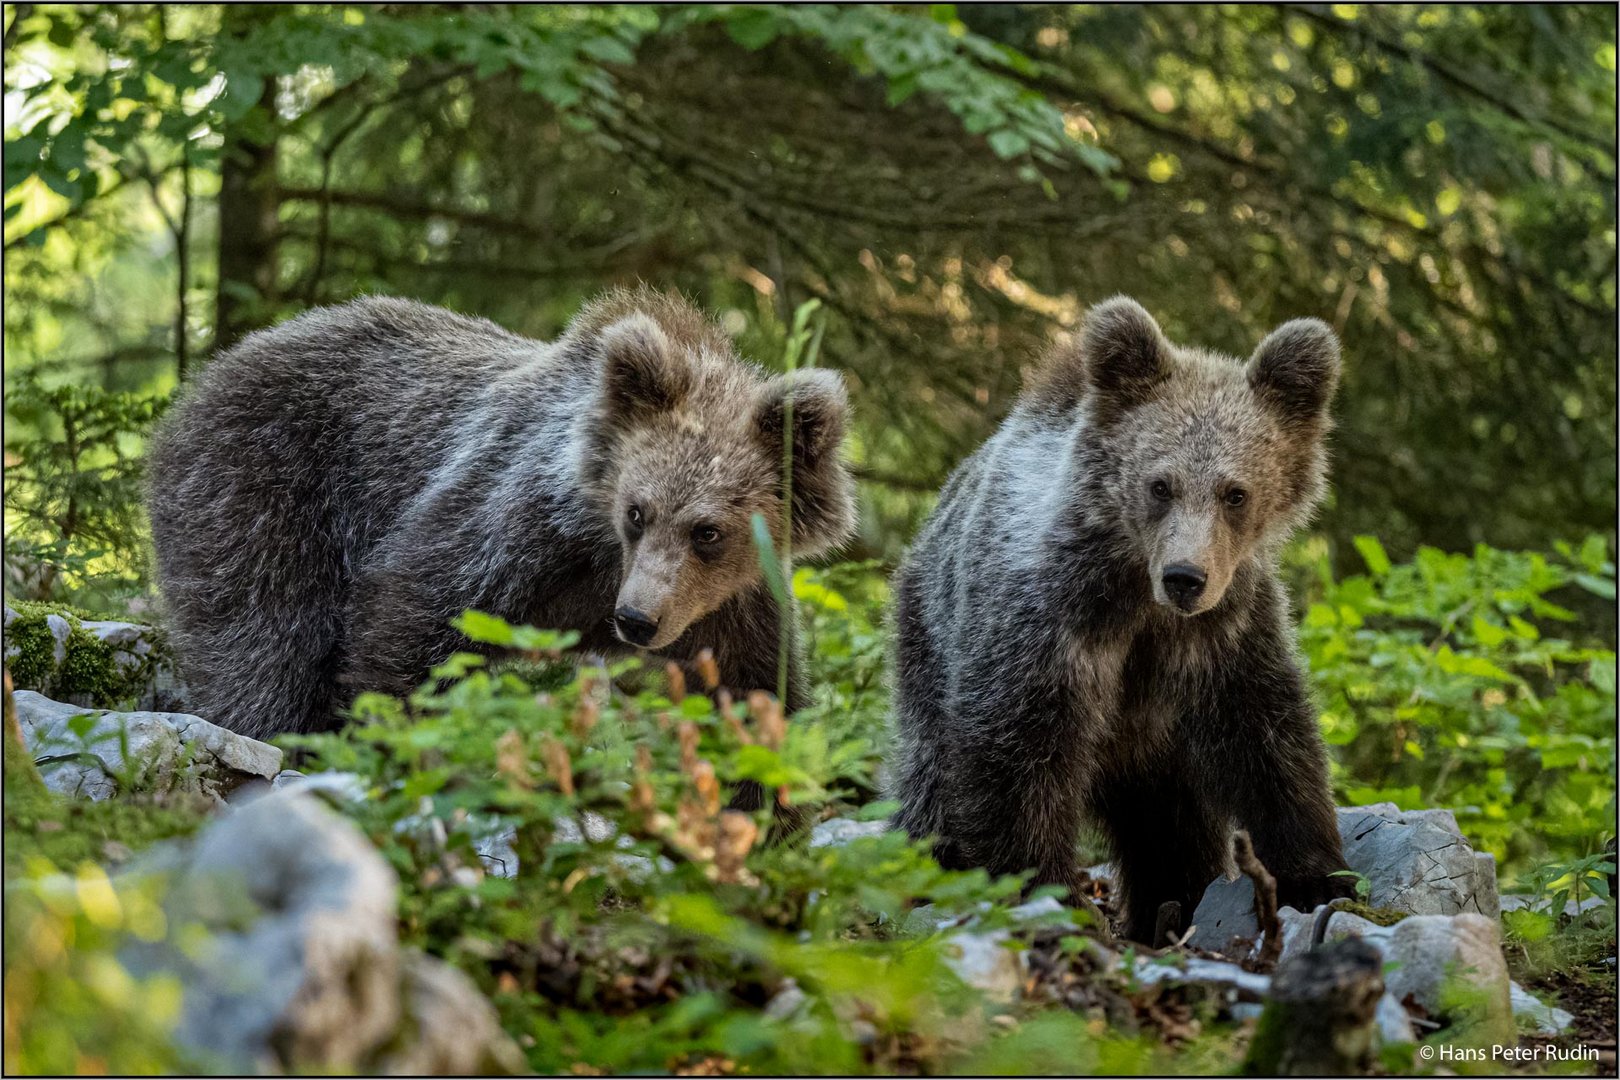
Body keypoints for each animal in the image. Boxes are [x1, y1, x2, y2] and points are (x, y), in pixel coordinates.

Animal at [150, 289, 855, 751]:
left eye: (708, 531)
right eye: (637, 511)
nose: (636, 620)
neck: (598, 558)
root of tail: (205, 376)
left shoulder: (733, 604)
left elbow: (756, 694)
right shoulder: (517, 521)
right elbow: (416, 616)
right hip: (261, 487)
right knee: (264, 637)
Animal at [887, 297, 1354, 945]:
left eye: (1235, 492)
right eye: (1160, 484)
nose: (1185, 576)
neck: (1137, 596)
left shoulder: (1227, 629)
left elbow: (1269, 735)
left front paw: (1317, 876)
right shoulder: (1047, 620)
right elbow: (1014, 748)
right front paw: (1043, 889)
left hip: (1157, 748)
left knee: (1170, 821)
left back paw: (1174, 899)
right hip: (927, 639)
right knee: (929, 782)